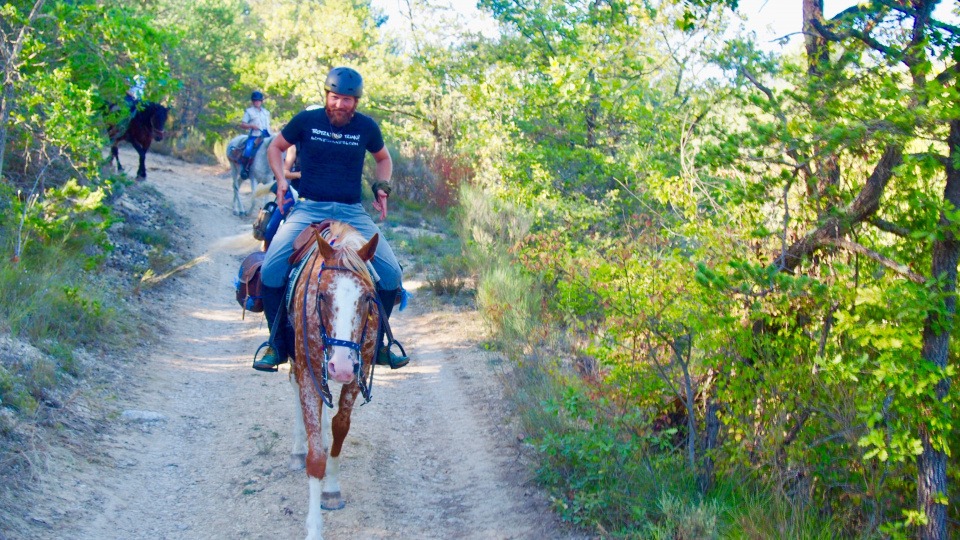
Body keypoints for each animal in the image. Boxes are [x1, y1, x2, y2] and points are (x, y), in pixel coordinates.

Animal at [286, 220, 381, 540]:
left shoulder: (359, 372)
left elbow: (340, 427)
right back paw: (297, 449)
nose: (340, 366)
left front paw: (331, 489)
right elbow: (315, 457)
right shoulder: (309, 369)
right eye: (322, 296)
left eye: (367, 298)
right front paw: (314, 528)